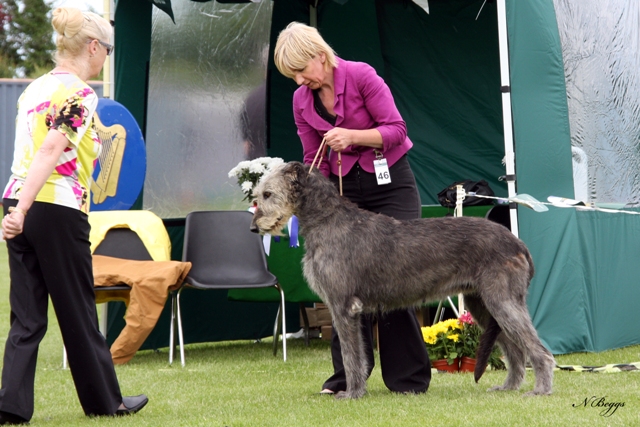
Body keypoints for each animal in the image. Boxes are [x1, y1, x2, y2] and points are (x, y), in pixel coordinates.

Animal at [250, 161, 555, 399]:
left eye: (267, 193)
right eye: (258, 194)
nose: (253, 228)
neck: (328, 220)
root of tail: (516, 242)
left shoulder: (342, 306)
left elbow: (350, 356)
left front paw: (352, 393)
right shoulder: (350, 309)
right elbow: (359, 355)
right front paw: (357, 391)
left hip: (502, 300)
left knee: (538, 350)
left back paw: (540, 389)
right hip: (481, 303)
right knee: (514, 349)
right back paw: (509, 387)